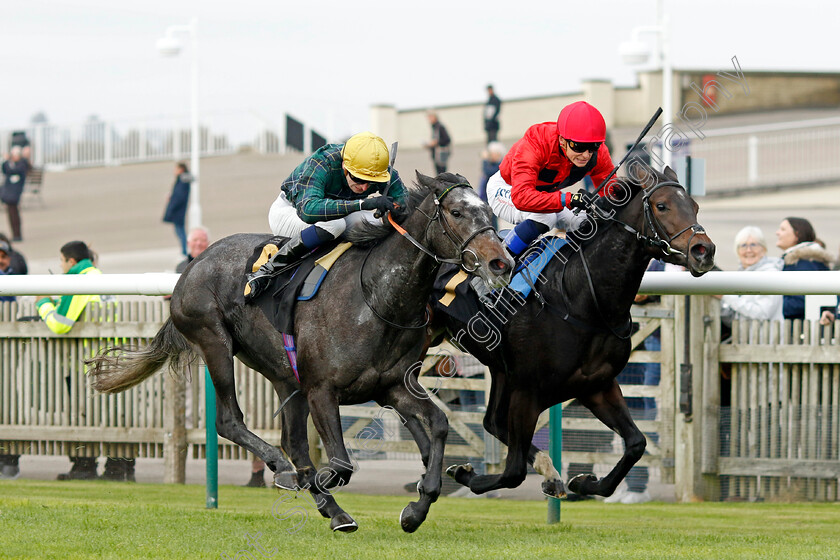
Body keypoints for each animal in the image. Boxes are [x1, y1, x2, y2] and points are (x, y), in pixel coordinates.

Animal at [90, 173, 512, 532]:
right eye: (457, 212)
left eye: (488, 211)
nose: (501, 262)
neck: (377, 297)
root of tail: (191, 267)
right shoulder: (321, 389)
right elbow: (340, 463)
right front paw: (320, 482)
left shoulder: (390, 385)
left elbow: (437, 425)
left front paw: (416, 508)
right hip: (214, 342)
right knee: (231, 422)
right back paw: (284, 471)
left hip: (283, 377)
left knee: (292, 441)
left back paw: (331, 507)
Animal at [440, 166, 716, 498]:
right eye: (662, 206)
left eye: (696, 206)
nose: (704, 251)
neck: (580, 299)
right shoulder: (527, 390)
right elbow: (513, 471)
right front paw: (463, 473)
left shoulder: (596, 385)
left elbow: (636, 443)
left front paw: (583, 482)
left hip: (501, 369)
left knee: (492, 421)